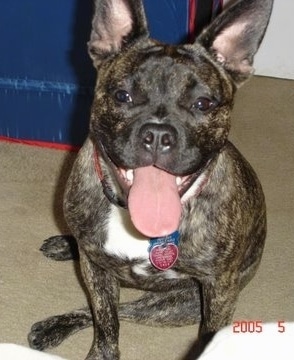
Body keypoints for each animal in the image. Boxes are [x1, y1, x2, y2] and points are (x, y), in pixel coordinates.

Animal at [27, 0, 274, 358]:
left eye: (203, 103)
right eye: (122, 96)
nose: (158, 134)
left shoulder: (218, 290)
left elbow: (204, 336)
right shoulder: (96, 270)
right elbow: (106, 322)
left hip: (179, 304)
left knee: (128, 309)